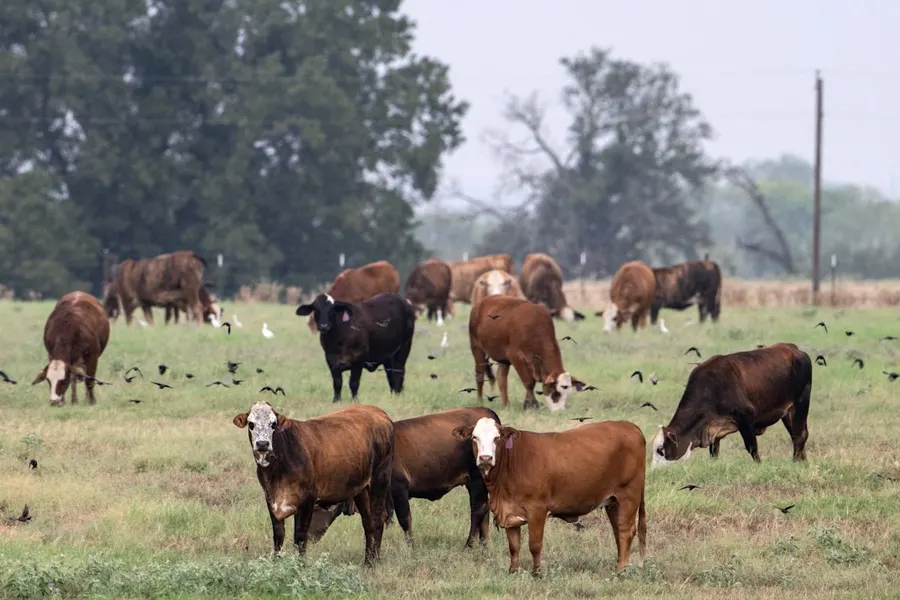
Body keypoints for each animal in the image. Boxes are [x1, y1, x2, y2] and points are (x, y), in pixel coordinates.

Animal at [232, 402, 394, 566]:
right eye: (251, 424)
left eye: (273, 424)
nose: (262, 444)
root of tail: (379, 412)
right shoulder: (271, 499)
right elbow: (278, 536)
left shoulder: (307, 500)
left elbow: (300, 537)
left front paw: (300, 566)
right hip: (361, 490)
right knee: (368, 523)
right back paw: (368, 562)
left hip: (379, 481)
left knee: (377, 520)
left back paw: (373, 563)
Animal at [303, 407, 502, 548]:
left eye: (316, 509)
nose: (309, 539)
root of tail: (485, 411)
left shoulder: (398, 489)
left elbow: (405, 520)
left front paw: (410, 547)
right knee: (484, 513)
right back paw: (484, 546)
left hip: (476, 478)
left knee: (478, 510)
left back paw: (469, 545)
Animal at [453, 417, 648, 574]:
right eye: (474, 437)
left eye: (497, 438)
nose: (485, 458)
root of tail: (629, 425)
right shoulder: (509, 511)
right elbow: (514, 546)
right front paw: (513, 571)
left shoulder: (537, 510)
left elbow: (535, 545)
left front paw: (537, 573)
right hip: (613, 501)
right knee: (617, 531)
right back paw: (620, 564)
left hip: (629, 495)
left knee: (626, 531)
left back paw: (620, 570)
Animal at [651, 342, 812, 468]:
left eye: (660, 449)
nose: (653, 470)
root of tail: (795, 349)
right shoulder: (712, 429)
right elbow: (714, 451)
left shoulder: (745, 418)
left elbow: (752, 447)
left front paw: (759, 465)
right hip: (788, 413)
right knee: (796, 436)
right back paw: (802, 462)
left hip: (800, 405)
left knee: (800, 435)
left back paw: (795, 462)